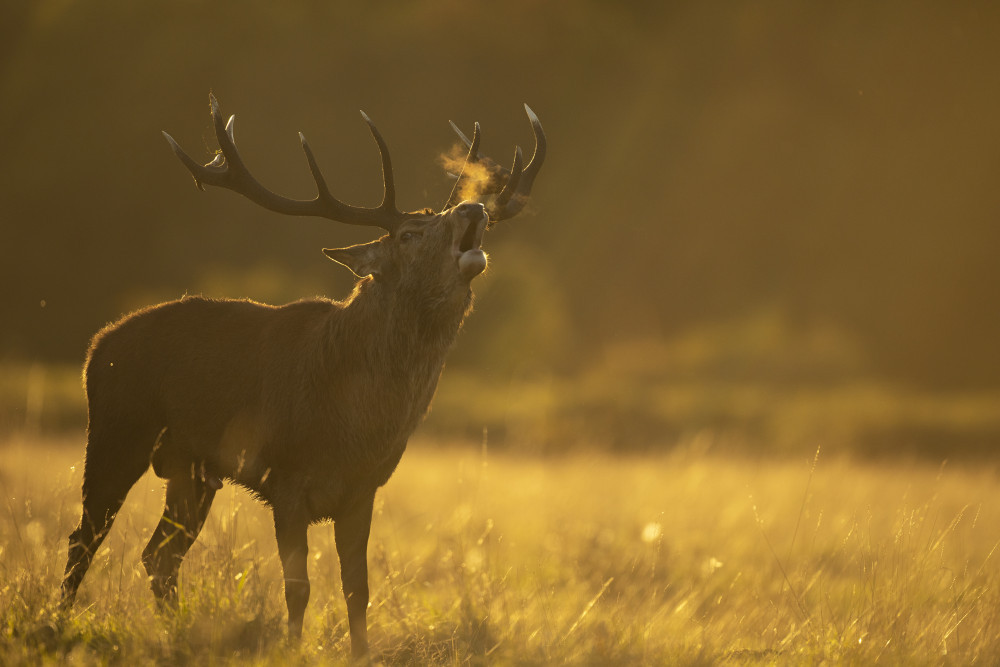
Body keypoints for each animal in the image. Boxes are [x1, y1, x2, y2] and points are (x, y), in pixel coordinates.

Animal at [60, 92, 548, 656]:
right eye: (408, 234)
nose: (473, 207)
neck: (354, 424)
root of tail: (97, 345)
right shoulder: (286, 480)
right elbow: (299, 587)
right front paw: (291, 650)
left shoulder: (363, 489)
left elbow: (357, 589)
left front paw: (361, 655)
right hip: (117, 432)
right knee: (84, 539)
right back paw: (59, 622)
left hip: (191, 471)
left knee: (158, 556)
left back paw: (177, 633)